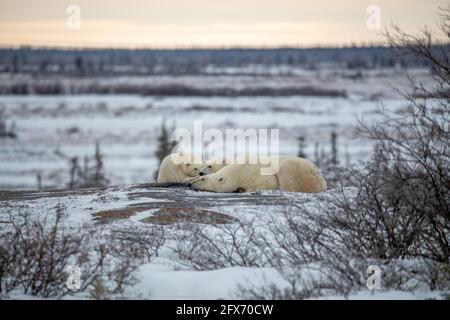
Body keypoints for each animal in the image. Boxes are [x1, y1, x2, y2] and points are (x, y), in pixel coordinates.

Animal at [190, 155, 326, 192]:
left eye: (203, 179)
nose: (190, 184)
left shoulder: (255, 173)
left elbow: (268, 183)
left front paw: (245, 190)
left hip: (293, 169)